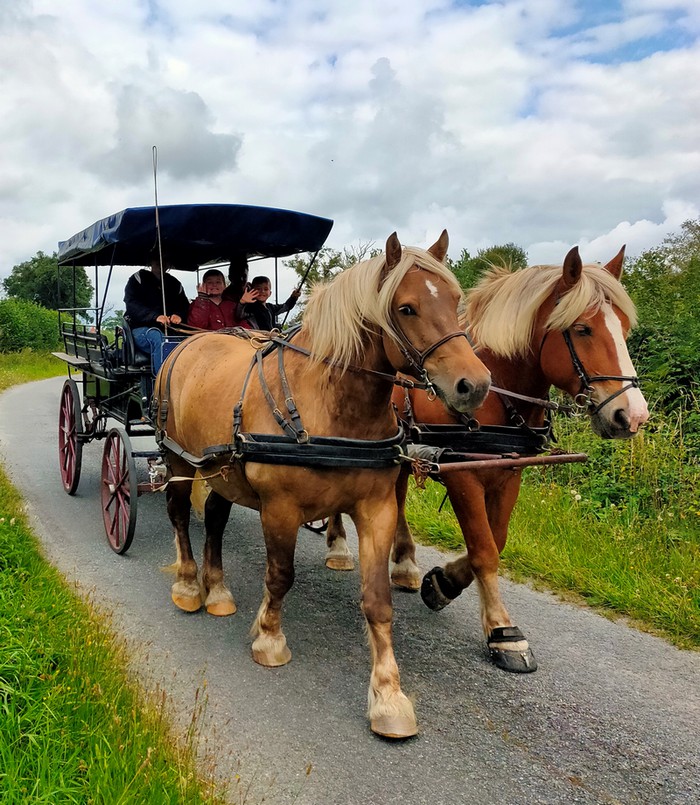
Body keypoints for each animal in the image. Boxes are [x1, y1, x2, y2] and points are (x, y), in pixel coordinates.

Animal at [154, 231, 492, 736]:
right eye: (406, 307)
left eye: (455, 301)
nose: (475, 385)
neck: (328, 404)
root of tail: (188, 343)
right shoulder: (280, 508)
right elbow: (280, 575)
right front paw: (269, 639)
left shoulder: (377, 509)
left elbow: (378, 601)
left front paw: (388, 696)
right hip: (178, 457)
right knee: (179, 514)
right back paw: (191, 585)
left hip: (222, 469)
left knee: (213, 517)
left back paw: (218, 591)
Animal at [326, 245, 648, 672]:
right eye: (582, 329)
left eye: (624, 327)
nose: (633, 415)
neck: (497, 393)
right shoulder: (462, 473)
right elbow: (484, 549)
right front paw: (501, 629)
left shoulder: (508, 470)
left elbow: (498, 538)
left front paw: (443, 582)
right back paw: (338, 546)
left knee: (398, 497)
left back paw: (405, 564)